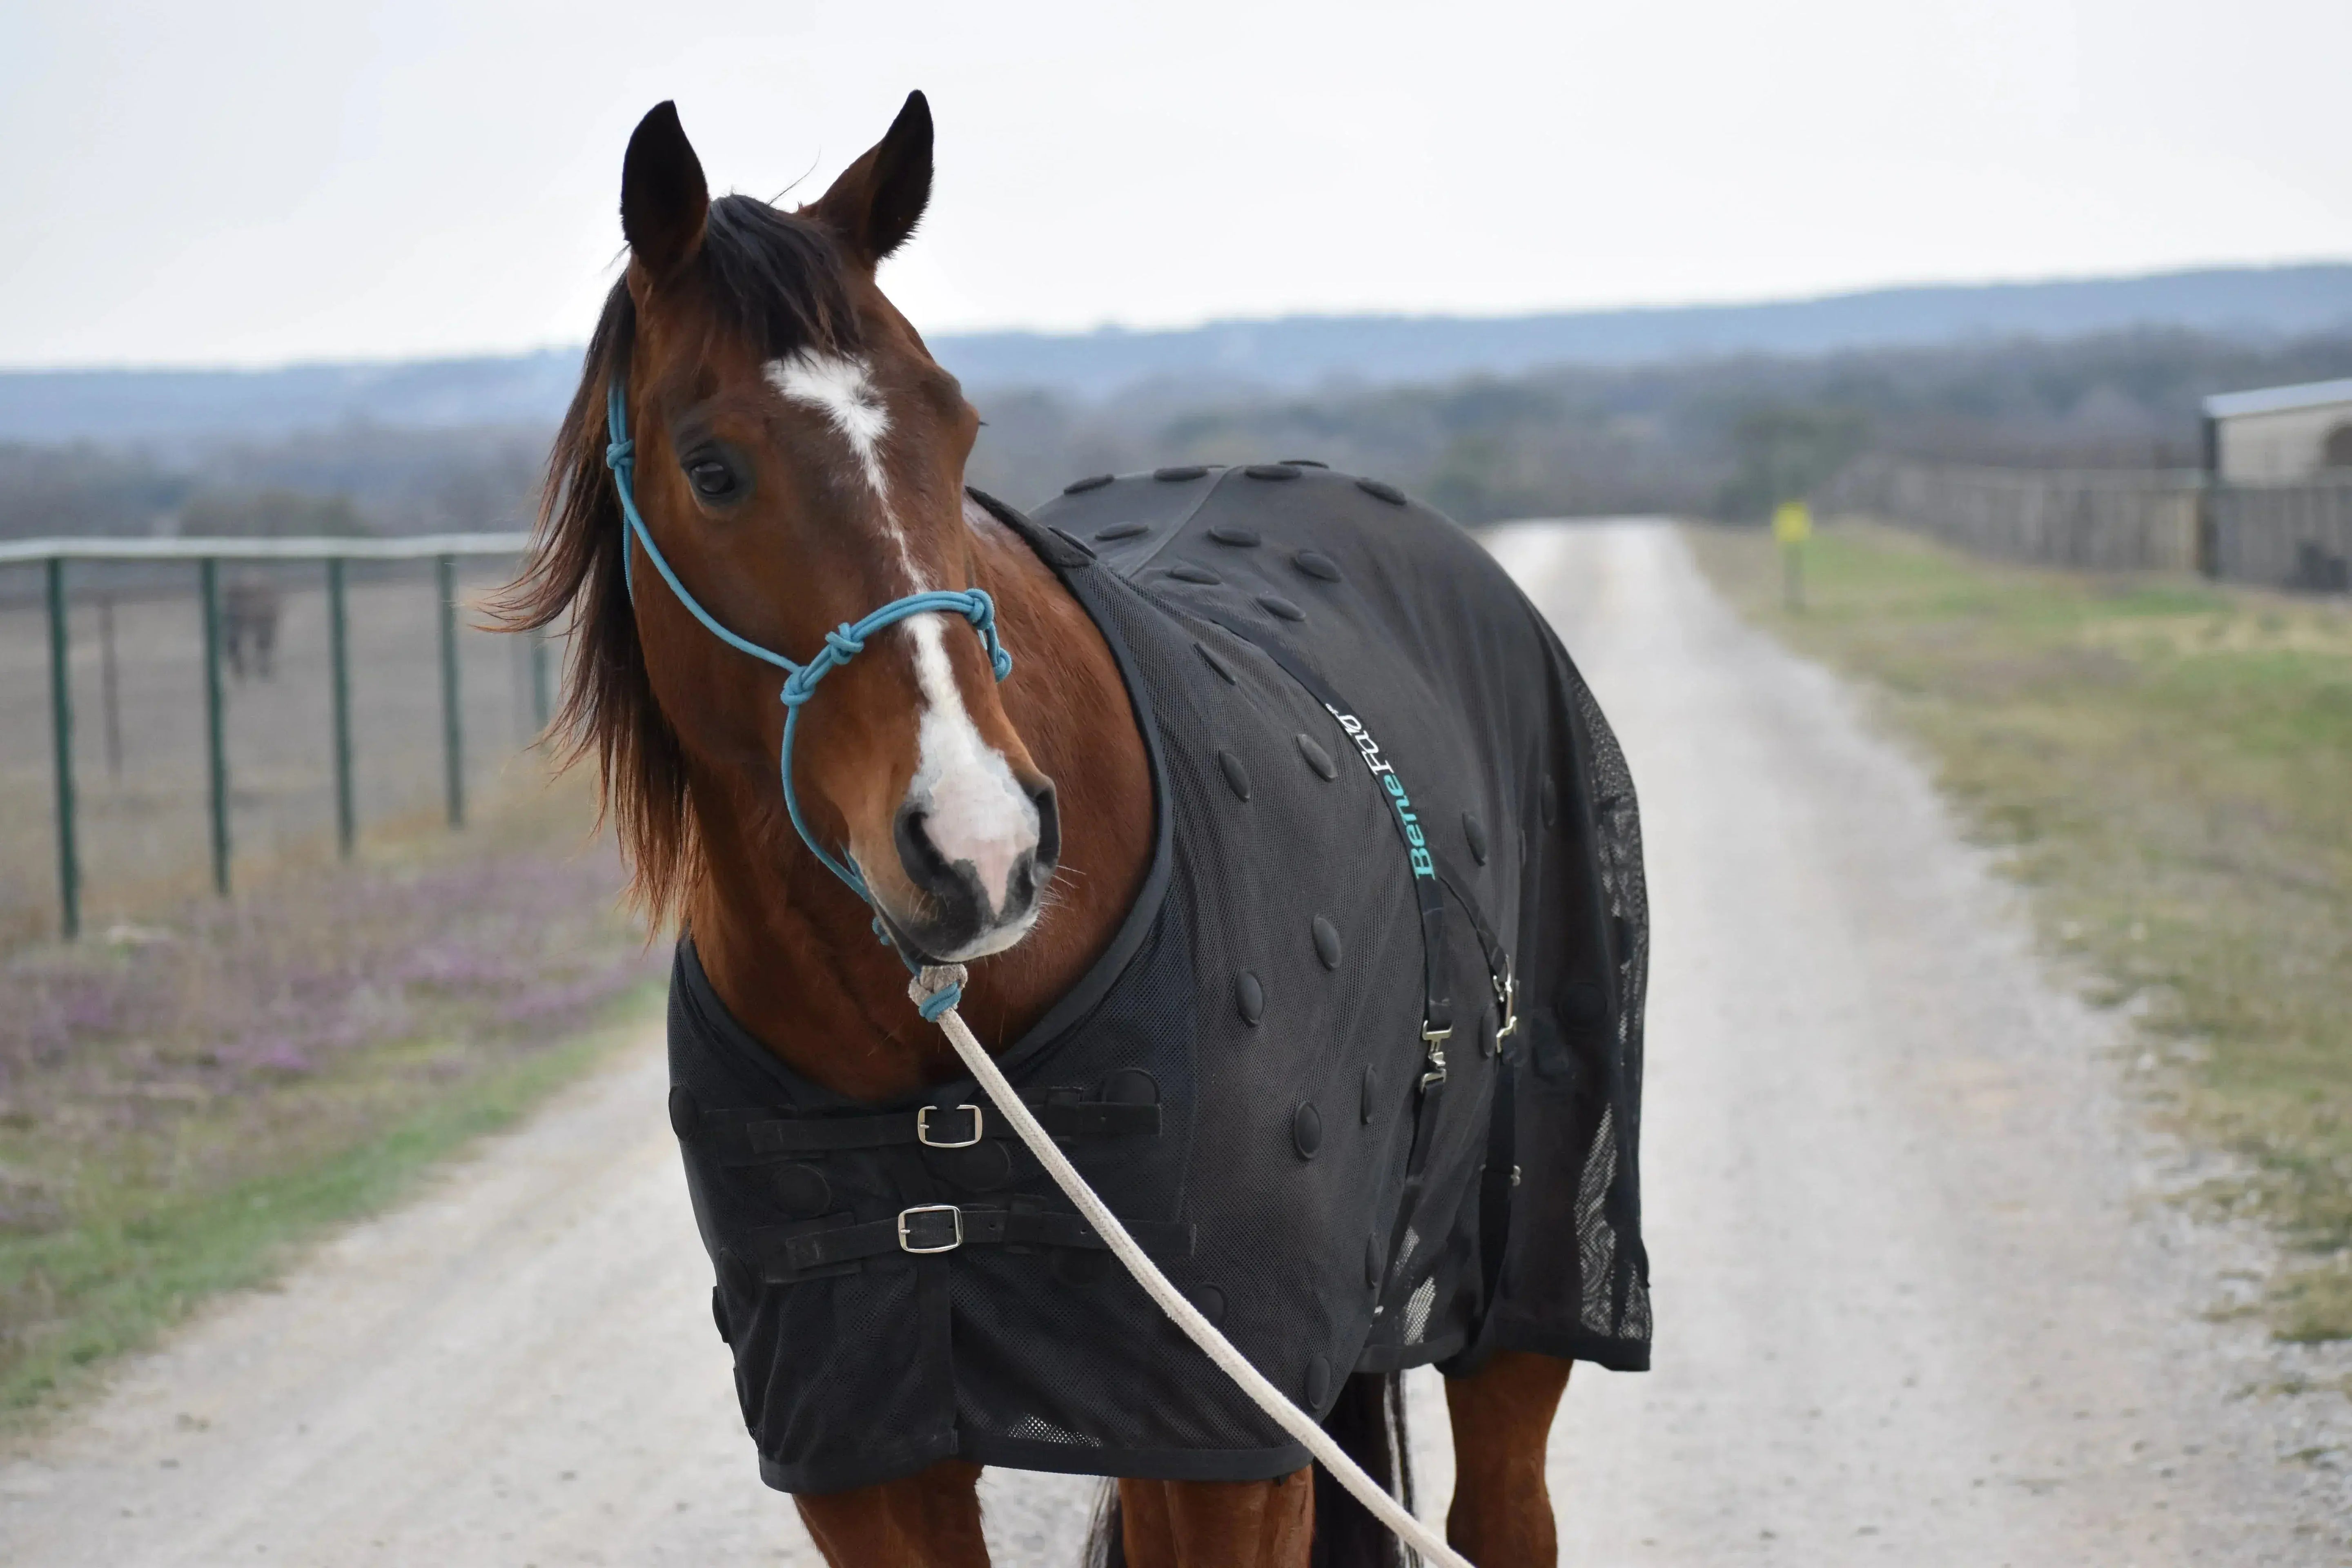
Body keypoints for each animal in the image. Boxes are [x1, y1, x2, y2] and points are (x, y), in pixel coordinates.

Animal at [498, 94, 1649, 1568]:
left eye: (956, 426)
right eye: (713, 470)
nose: (979, 846)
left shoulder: (1225, 1445)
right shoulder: (866, 1460)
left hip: (1511, 1313)